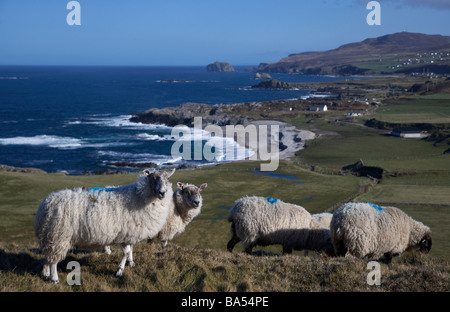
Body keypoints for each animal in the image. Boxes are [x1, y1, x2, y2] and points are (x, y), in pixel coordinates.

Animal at [34, 168, 175, 282]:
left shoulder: (131, 232)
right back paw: (54, 278)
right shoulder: (125, 233)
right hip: (59, 235)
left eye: (167, 178)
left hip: (50, 236)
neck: (139, 196)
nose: (162, 193)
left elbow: (131, 249)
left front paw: (131, 263)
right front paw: (119, 271)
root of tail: (45, 204)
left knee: (47, 257)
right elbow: (126, 252)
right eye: (153, 178)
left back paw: (45, 274)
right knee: (53, 261)